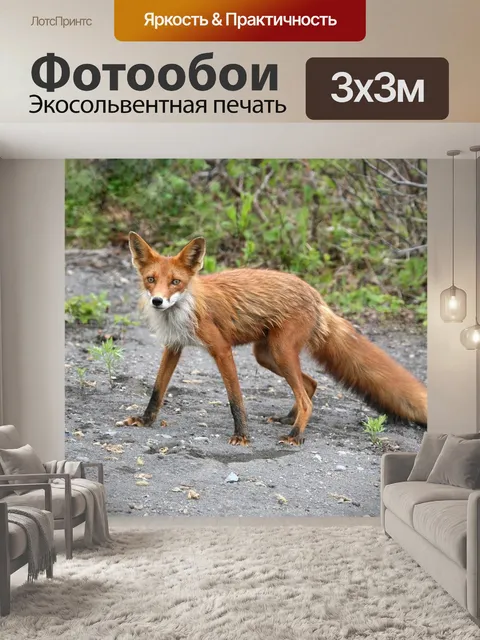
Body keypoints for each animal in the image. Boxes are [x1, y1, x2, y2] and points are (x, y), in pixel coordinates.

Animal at [118, 231, 427, 446]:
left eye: (175, 282)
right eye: (150, 279)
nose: (158, 301)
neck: (185, 308)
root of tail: (315, 295)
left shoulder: (221, 349)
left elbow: (235, 399)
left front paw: (242, 436)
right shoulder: (174, 346)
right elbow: (157, 390)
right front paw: (145, 420)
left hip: (280, 352)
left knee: (307, 397)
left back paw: (295, 434)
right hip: (266, 355)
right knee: (310, 384)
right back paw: (289, 419)